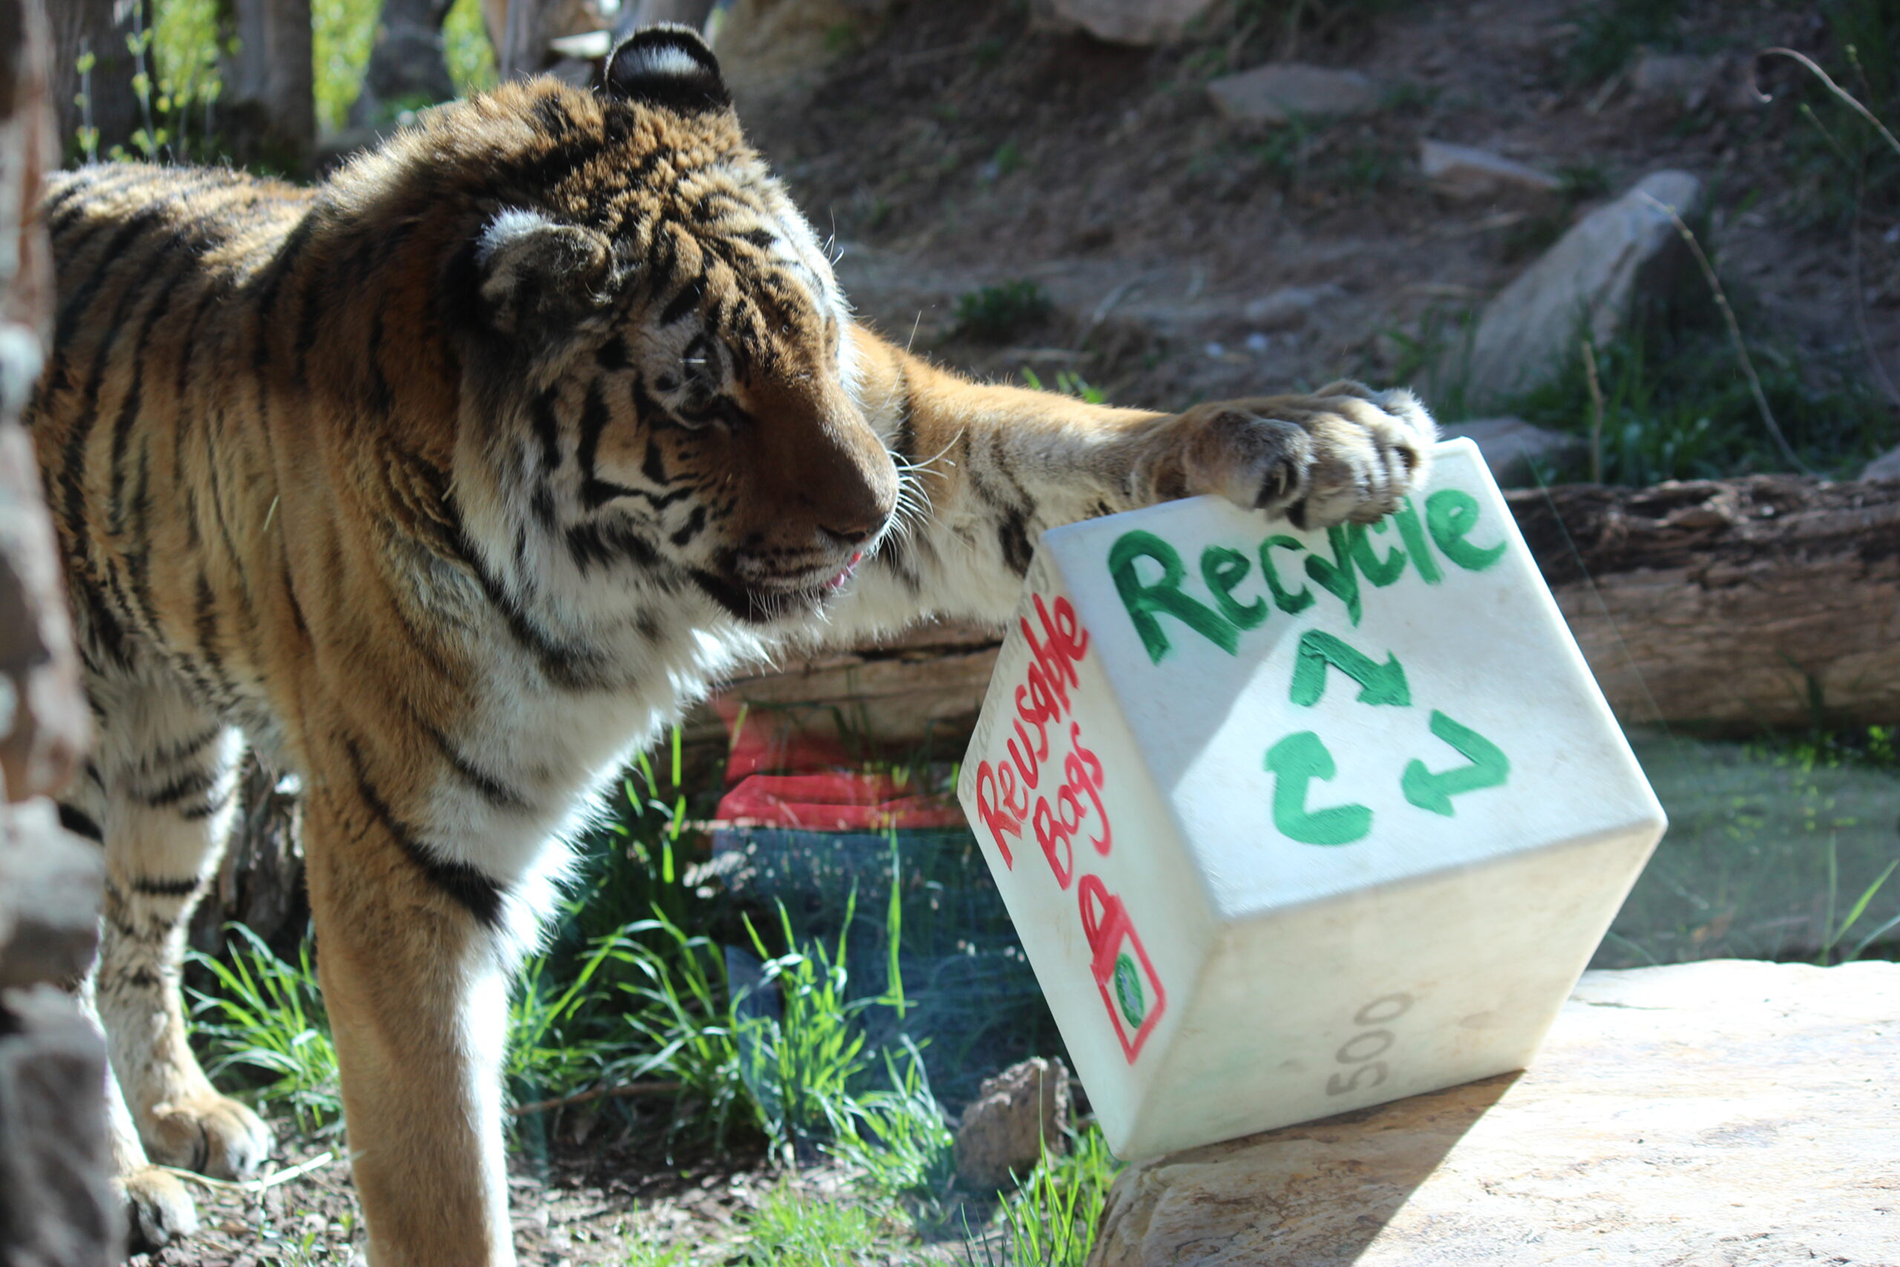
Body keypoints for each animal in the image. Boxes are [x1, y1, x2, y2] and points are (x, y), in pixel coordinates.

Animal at [29, 26, 1434, 1266]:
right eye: (699, 387)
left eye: (814, 324)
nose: (872, 514)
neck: (606, 581)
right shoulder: (403, 863)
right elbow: (443, 1190)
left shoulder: (912, 429)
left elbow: (1072, 442)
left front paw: (1323, 437)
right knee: (57, 975)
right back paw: (126, 1185)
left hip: (172, 769)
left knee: (134, 943)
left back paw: (188, 1119)